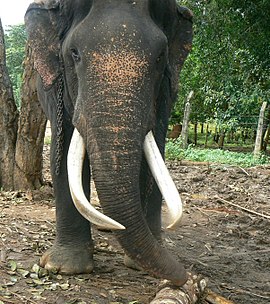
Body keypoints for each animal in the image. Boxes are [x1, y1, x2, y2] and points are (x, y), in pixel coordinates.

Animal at [24, 0, 192, 286]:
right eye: (74, 54)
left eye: (160, 57)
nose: (189, 278)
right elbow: (63, 150)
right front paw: (64, 268)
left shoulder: (167, 89)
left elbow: (155, 151)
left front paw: (140, 262)